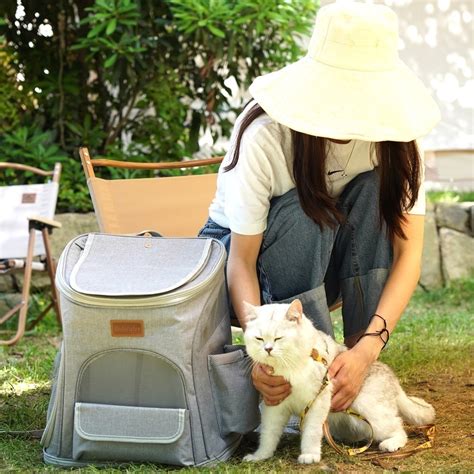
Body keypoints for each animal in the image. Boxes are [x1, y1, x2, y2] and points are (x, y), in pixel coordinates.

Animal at [243, 300, 436, 462]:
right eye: (259, 339)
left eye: (278, 338)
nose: (268, 349)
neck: (289, 366)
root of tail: (392, 376)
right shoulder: (273, 405)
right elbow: (268, 434)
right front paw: (260, 456)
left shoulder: (317, 402)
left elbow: (311, 433)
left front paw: (310, 455)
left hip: (370, 411)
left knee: (399, 428)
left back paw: (391, 443)